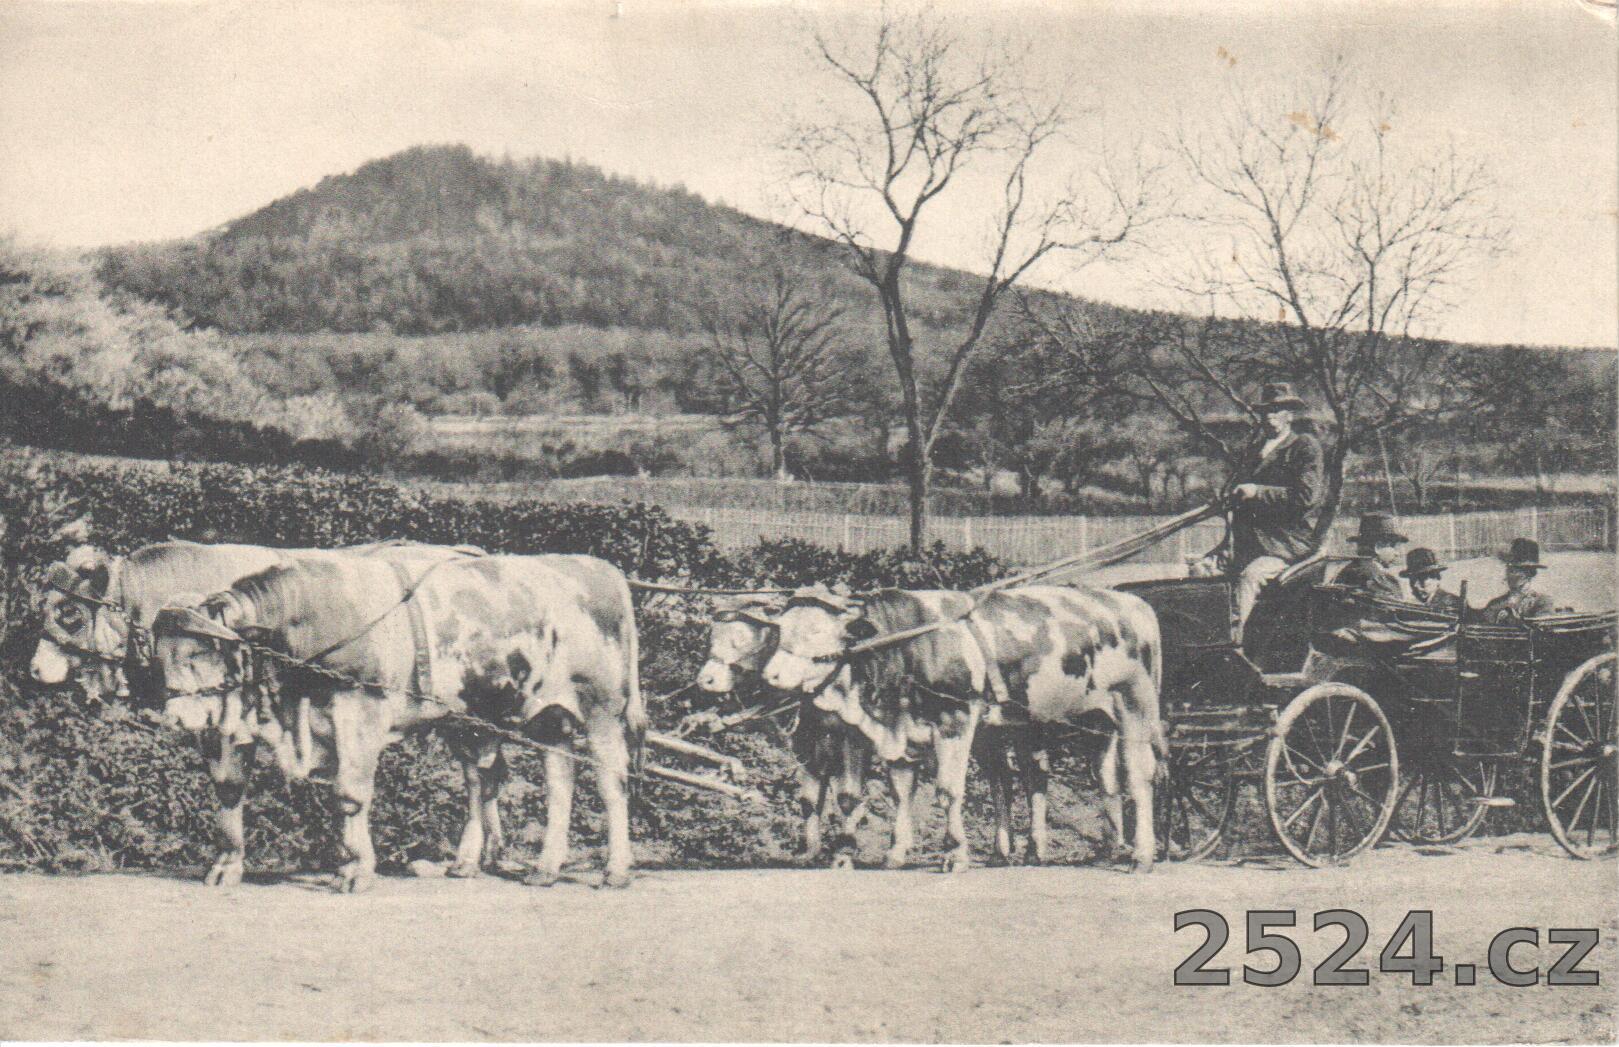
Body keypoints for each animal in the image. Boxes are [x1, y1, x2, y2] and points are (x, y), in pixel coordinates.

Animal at [27, 540, 490, 886]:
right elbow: (227, 786)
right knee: (483, 776)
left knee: (478, 779)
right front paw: (226, 866)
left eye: (69, 614)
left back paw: (471, 858)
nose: (34, 669)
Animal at [153, 552, 644, 892]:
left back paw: (615, 870)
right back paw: (536, 868)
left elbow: (349, 795)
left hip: (601, 709)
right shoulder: (238, 720)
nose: (174, 717)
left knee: (611, 783)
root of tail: (600, 567)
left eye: (198, 652)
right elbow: (228, 790)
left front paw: (355, 871)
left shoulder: (359, 713)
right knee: (547, 782)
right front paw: (226, 866)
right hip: (536, 718)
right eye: (159, 655)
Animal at [762, 585, 1166, 872]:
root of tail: (1130, 601)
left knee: (1139, 778)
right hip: (1086, 720)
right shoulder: (890, 728)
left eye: (817, 631)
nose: (771, 676)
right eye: (781, 630)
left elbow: (948, 790)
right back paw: (1102, 849)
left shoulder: (954, 719)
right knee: (1091, 779)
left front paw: (955, 853)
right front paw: (892, 853)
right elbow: (895, 792)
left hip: (1134, 706)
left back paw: (1141, 855)